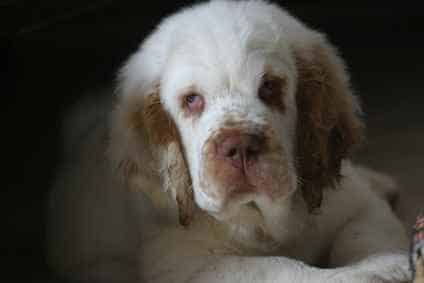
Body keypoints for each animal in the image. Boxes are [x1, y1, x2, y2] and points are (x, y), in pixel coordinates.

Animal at [48, 1, 412, 282]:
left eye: (270, 87)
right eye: (192, 100)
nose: (240, 148)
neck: (264, 220)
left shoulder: (357, 207)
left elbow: (363, 234)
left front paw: (385, 264)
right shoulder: (183, 262)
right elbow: (276, 267)